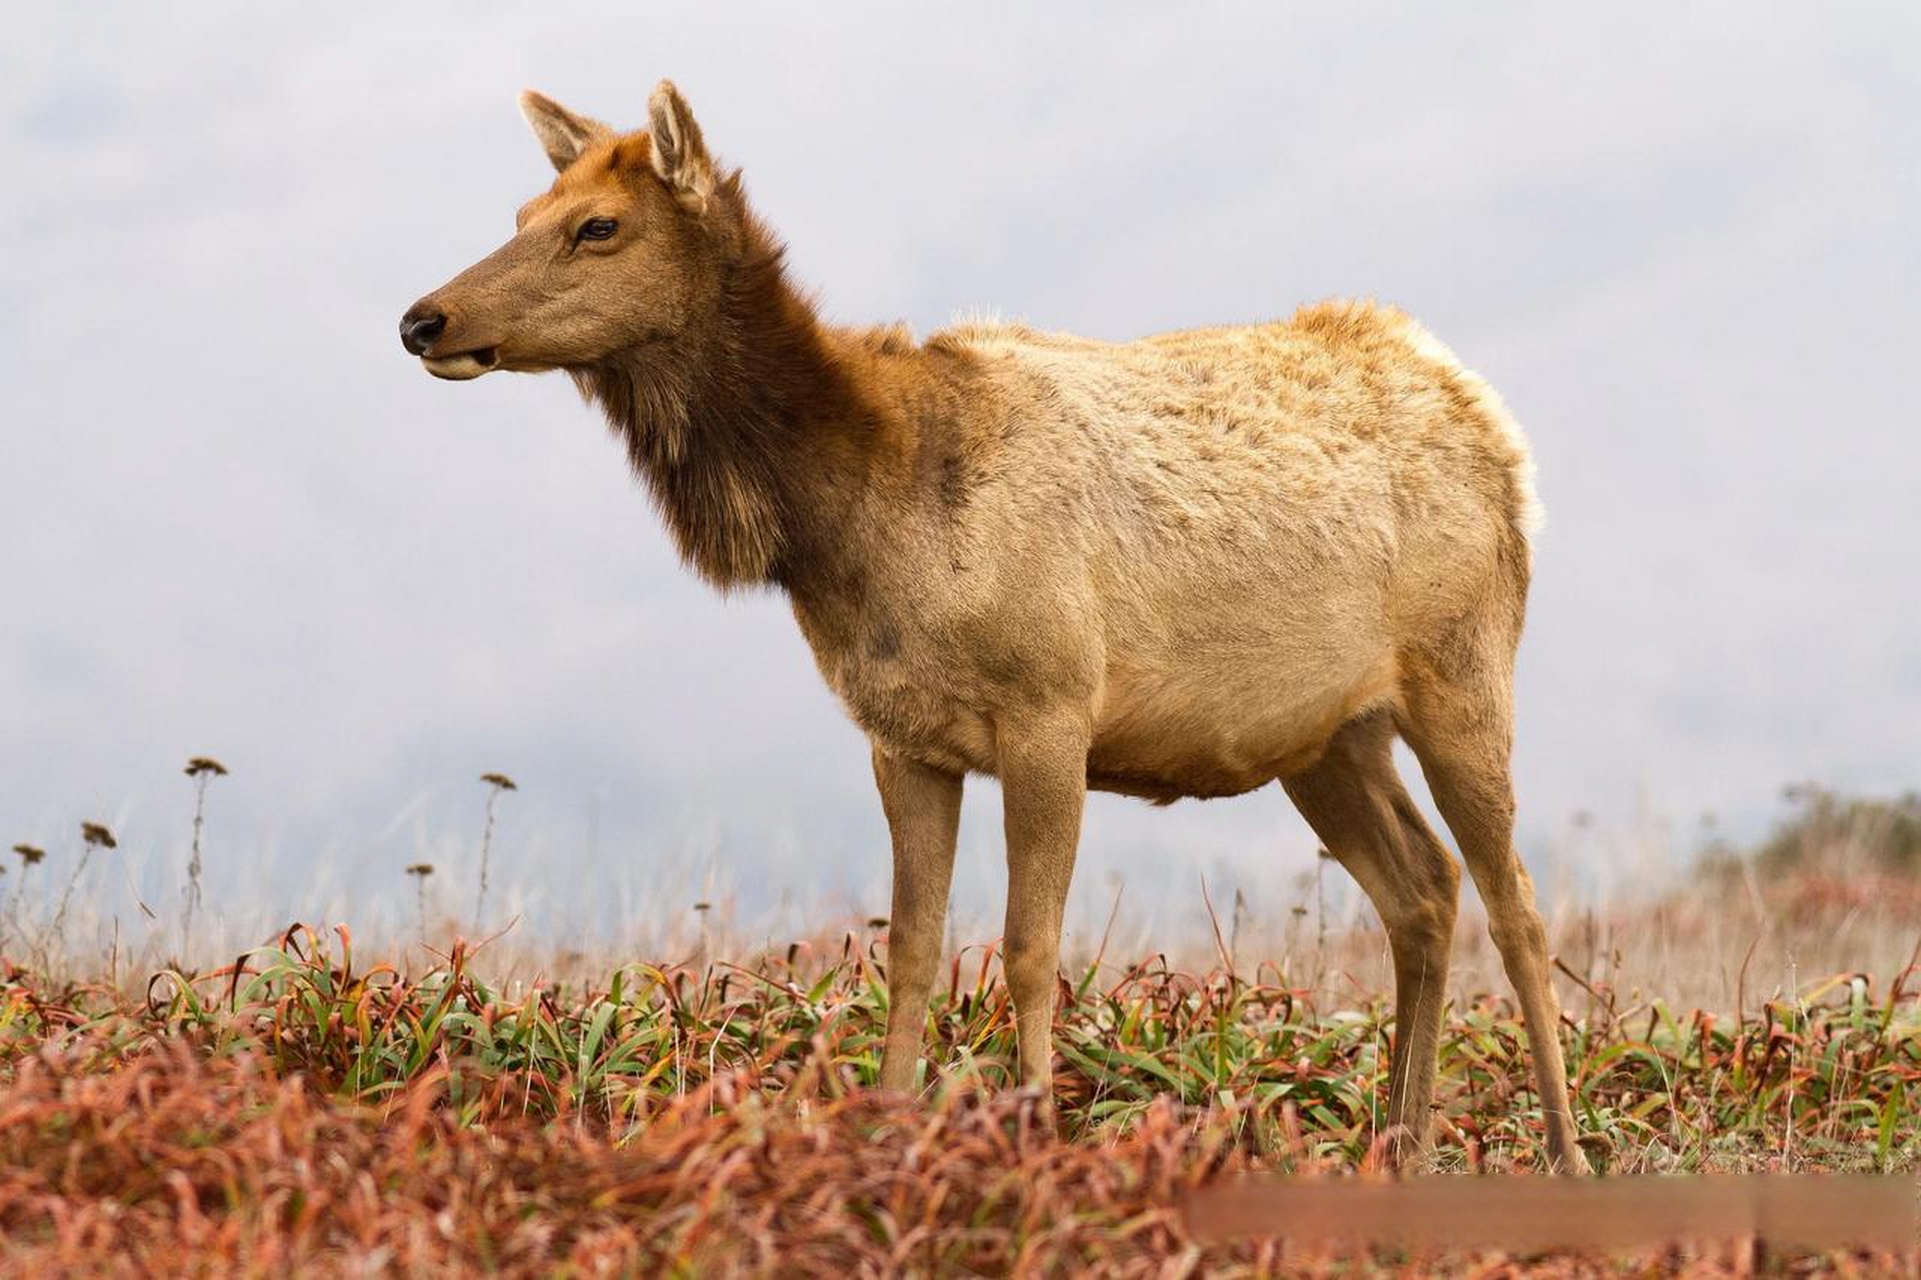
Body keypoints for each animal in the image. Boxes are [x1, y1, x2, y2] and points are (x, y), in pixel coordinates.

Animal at [401, 79, 1590, 1168]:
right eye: (522, 210)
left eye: (598, 226)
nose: (423, 318)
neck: (857, 520)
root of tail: (1488, 422)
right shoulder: (902, 739)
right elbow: (912, 949)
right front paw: (891, 1128)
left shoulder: (1052, 707)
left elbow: (1028, 946)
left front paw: (1037, 1137)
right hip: (1325, 735)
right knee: (1422, 890)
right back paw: (1404, 1142)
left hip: (1463, 671)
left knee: (1518, 904)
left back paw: (1563, 1151)